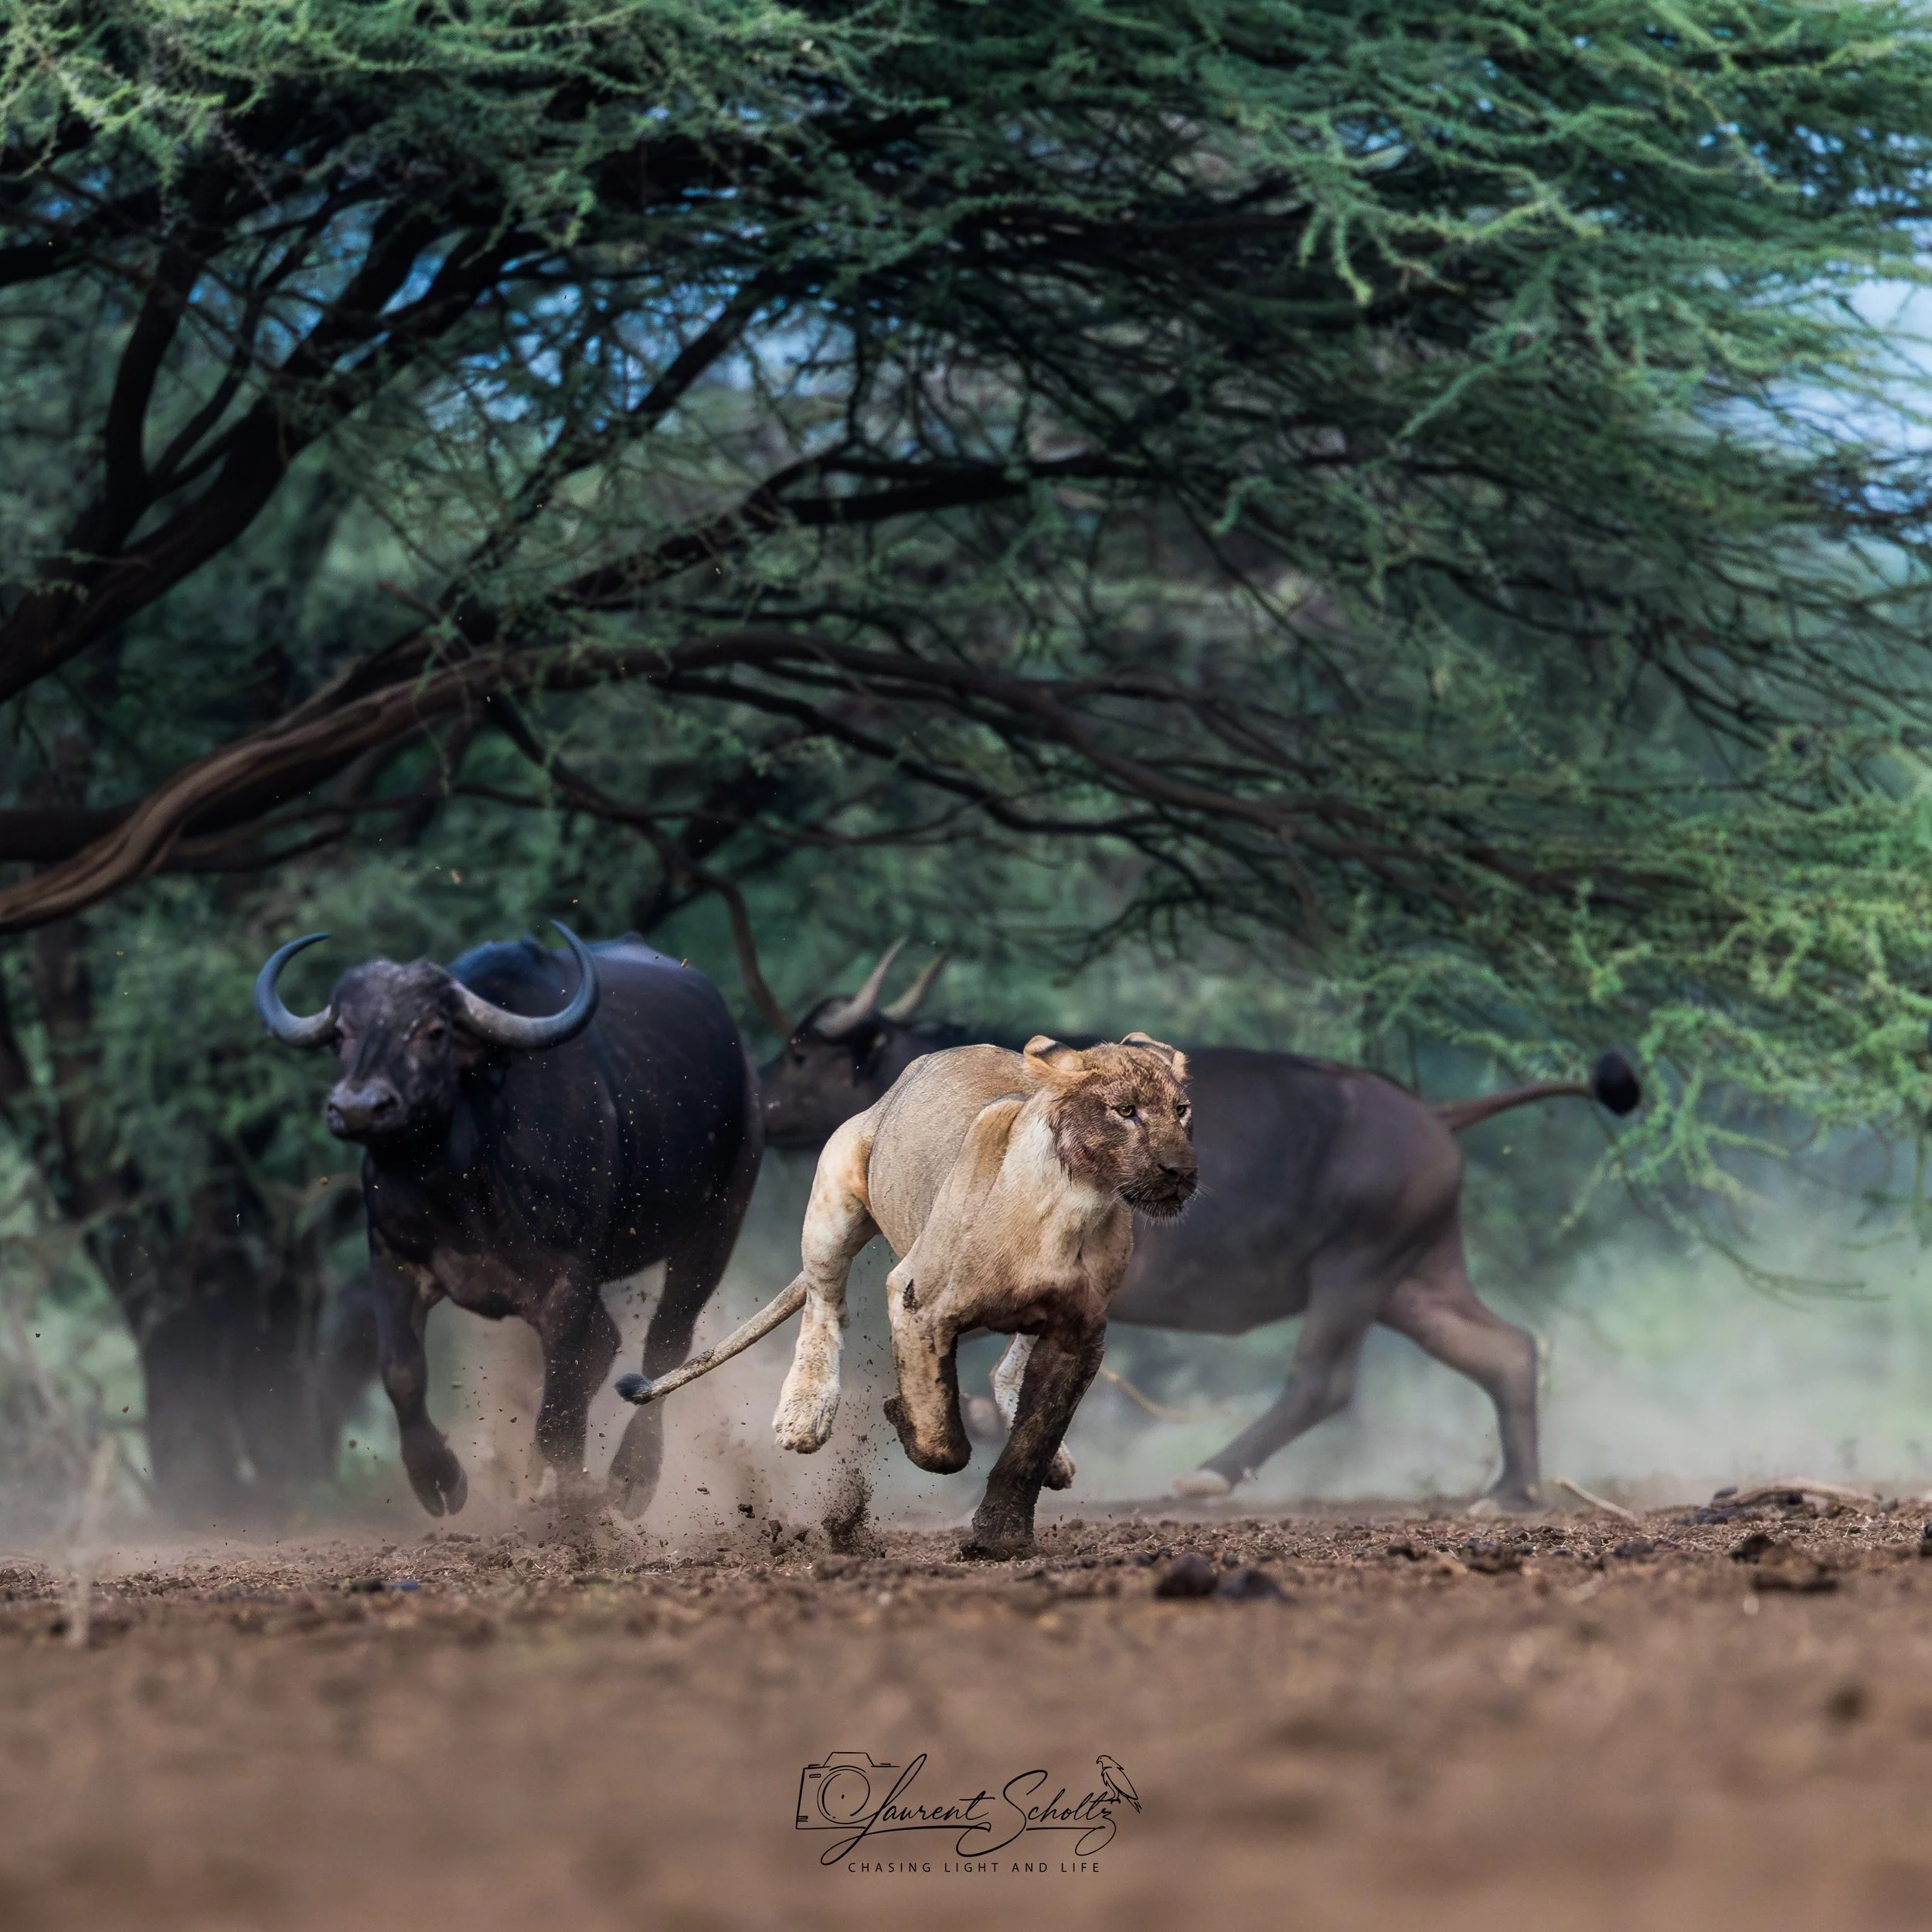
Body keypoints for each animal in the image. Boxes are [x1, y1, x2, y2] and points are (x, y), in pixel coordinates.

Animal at [256, 924, 761, 1518]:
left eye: (434, 1031)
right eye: (342, 1033)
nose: (357, 1107)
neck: (459, 1186)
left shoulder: (568, 1286)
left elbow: (562, 1401)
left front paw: (563, 1499)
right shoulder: (392, 1257)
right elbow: (401, 1370)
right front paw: (438, 1479)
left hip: (718, 1224)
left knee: (669, 1341)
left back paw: (631, 1477)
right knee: (608, 1348)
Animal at [616, 1032, 1197, 1554]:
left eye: (1181, 1110)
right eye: (1125, 1111)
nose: (1181, 1171)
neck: (1076, 1209)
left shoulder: (1080, 1335)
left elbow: (1033, 1440)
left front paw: (1002, 1536)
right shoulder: (916, 1300)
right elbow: (939, 1430)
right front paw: (906, 1421)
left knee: (1003, 1368)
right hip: (833, 1200)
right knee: (825, 1304)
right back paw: (804, 1412)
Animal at [758, 945, 1639, 1507]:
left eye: (802, 1053)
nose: (759, 1103)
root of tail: (1432, 1113)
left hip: (1353, 1271)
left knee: (1322, 1381)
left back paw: (1208, 1475)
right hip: (1414, 1280)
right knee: (1506, 1351)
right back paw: (1512, 1493)